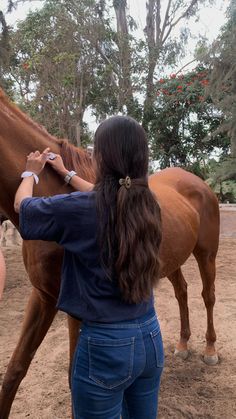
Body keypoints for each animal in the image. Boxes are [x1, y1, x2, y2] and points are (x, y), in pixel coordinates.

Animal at [0, 88, 219, 416]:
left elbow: (73, 377)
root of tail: (197, 181)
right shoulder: (43, 296)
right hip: (171, 261)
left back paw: (209, 349)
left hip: (206, 254)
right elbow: (15, 369)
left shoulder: (76, 309)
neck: (49, 192)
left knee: (207, 296)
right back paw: (182, 345)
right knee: (182, 291)